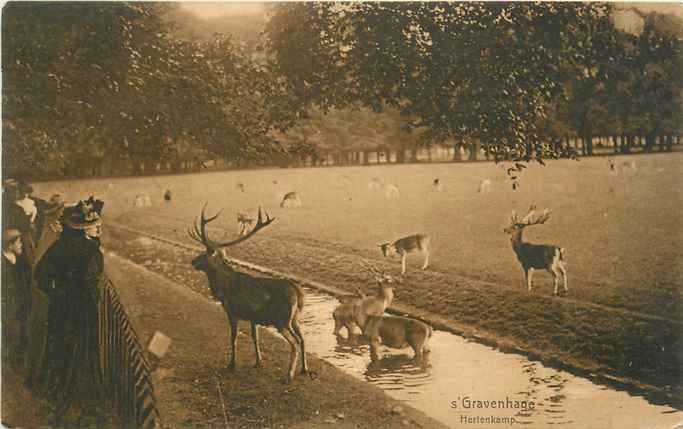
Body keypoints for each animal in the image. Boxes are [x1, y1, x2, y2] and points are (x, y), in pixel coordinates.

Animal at [187, 204, 310, 382]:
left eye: (203, 254)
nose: (193, 261)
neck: (222, 288)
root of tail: (298, 292)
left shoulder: (232, 310)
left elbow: (234, 337)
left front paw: (231, 365)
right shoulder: (253, 317)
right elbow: (255, 336)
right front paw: (258, 362)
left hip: (281, 320)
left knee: (294, 343)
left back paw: (289, 375)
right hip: (295, 318)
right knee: (303, 339)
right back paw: (304, 369)